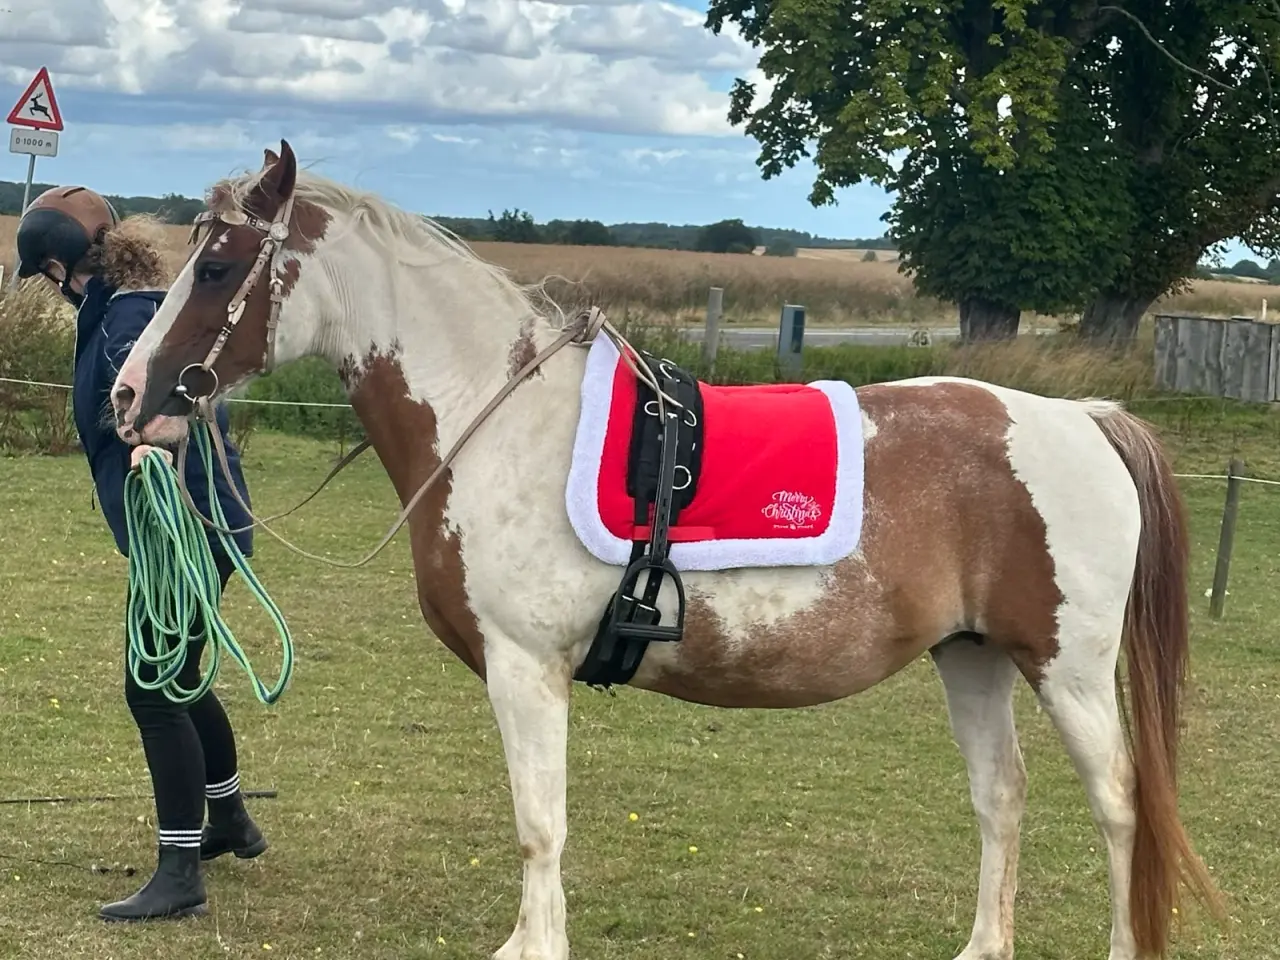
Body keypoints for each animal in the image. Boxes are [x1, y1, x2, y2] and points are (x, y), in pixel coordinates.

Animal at [107, 139, 1223, 960]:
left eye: (216, 266)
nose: (126, 397)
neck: (496, 417)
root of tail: (1082, 420)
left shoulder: (526, 670)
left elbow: (539, 825)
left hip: (1066, 670)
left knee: (1120, 811)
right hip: (974, 658)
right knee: (1002, 799)